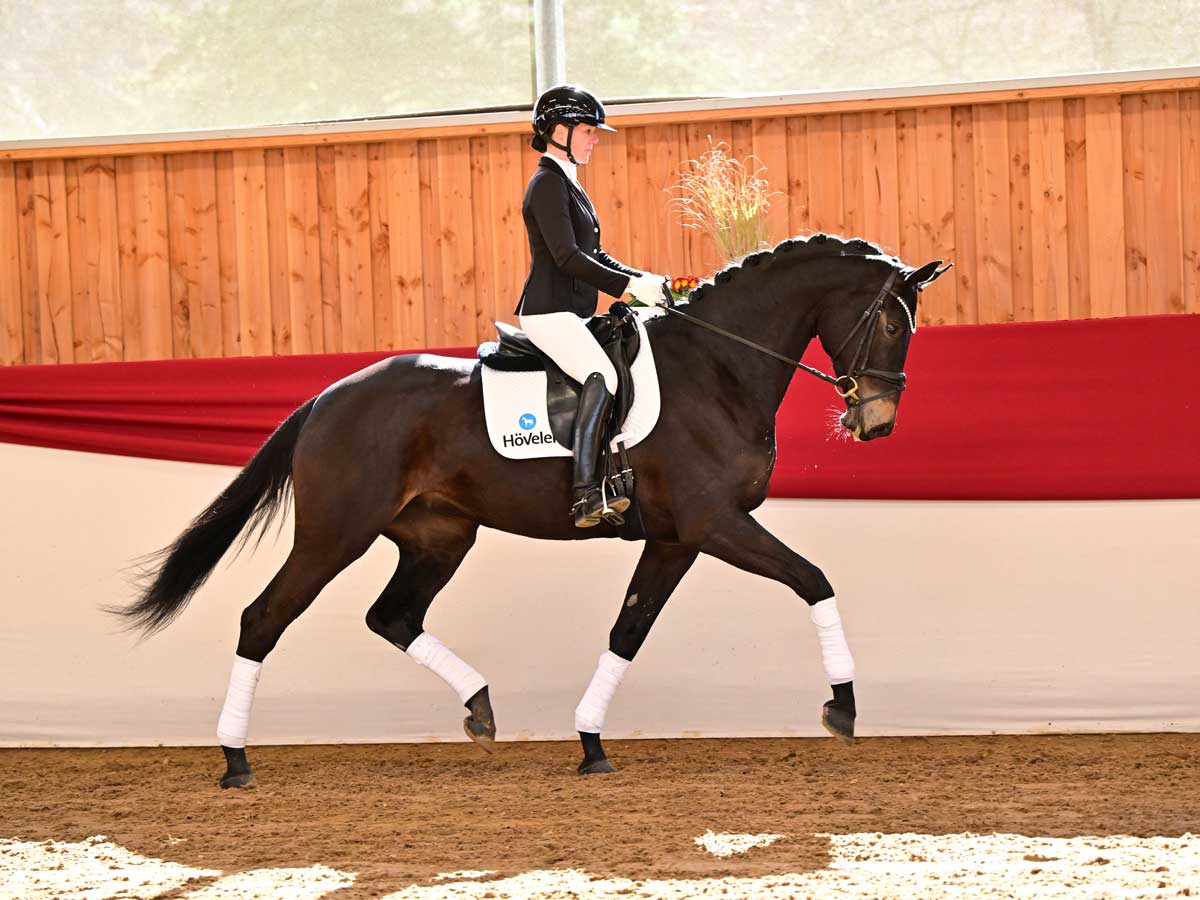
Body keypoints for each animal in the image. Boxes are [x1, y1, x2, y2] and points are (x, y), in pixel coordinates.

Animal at [116, 233, 950, 787]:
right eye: (889, 322)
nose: (878, 423)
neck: (717, 368)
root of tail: (326, 397)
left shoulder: (675, 540)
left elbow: (627, 632)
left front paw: (590, 743)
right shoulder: (716, 524)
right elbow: (814, 580)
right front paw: (843, 709)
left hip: (439, 536)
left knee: (393, 616)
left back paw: (481, 710)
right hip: (335, 534)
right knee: (263, 619)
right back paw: (234, 760)